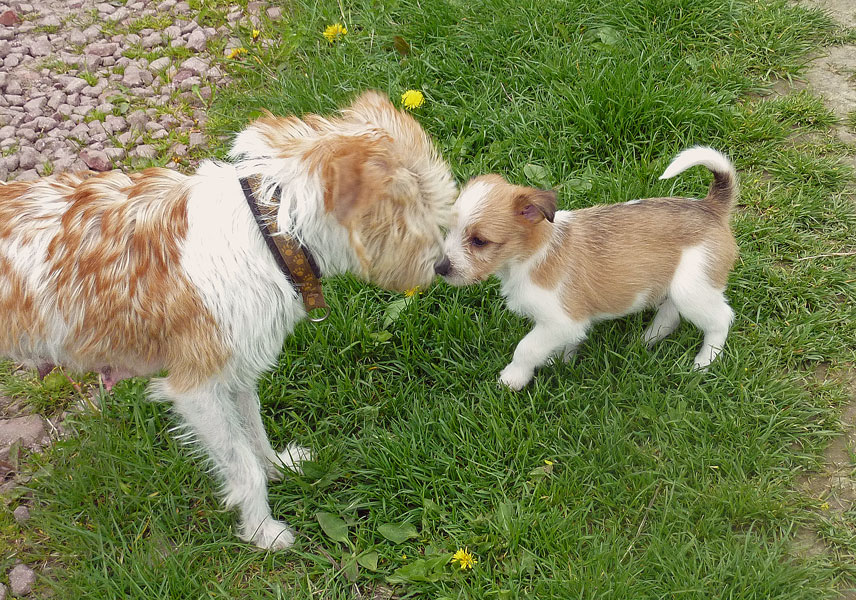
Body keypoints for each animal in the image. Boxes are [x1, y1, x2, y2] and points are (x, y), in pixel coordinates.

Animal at [0, 91, 457, 549]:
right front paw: (263, 531)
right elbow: (243, 467)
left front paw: (280, 468)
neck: (270, 232)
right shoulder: (197, 388)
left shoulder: (238, 372)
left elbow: (254, 434)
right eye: (412, 206)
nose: (442, 266)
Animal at [435, 146, 738, 390]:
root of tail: (711, 207)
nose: (439, 267)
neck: (530, 257)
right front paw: (561, 359)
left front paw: (513, 378)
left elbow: (526, 348)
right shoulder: (564, 325)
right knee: (671, 314)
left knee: (721, 319)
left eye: (479, 241)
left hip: (693, 289)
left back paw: (704, 362)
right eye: (448, 230)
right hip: (682, 284)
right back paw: (646, 340)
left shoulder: (560, 320)